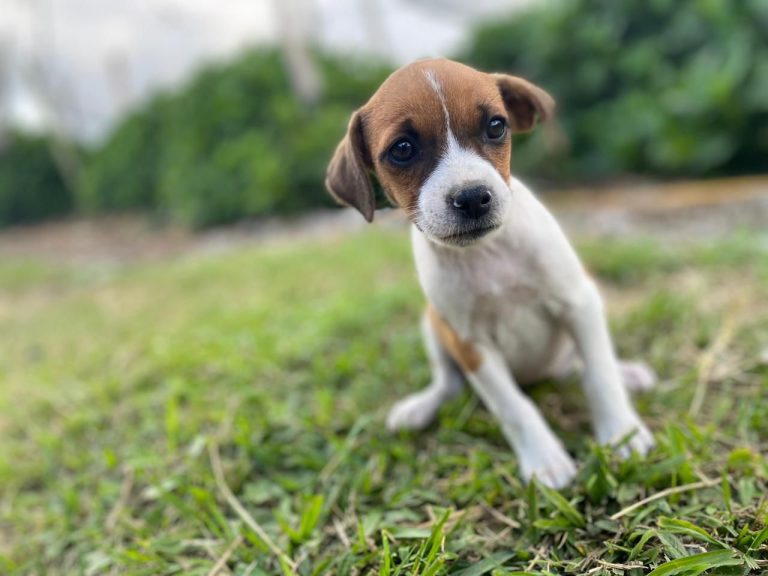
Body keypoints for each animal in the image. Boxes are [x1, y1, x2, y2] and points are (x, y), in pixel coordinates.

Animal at [324, 58, 656, 488]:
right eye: (403, 149)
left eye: (496, 126)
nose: (471, 198)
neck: (487, 254)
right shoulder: (470, 343)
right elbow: (513, 407)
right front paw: (545, 459)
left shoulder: (578, 302)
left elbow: (599, 376)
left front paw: (621, 433)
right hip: (433, 326)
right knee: (449, 384)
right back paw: (420, 408)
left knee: (579, 368)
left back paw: (627, 373)